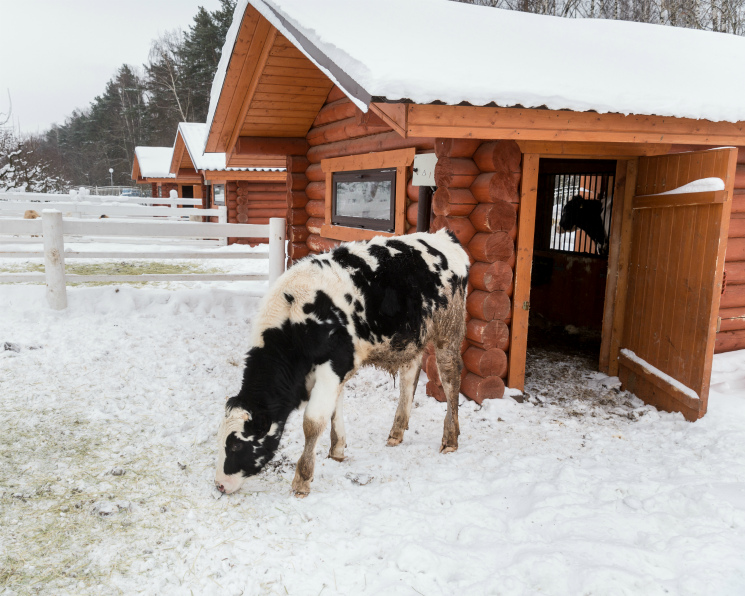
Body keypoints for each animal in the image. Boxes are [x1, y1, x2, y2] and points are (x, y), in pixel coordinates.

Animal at [215, 230, 468, 496]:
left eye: (235, 445)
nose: (219, 484)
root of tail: (443, 236)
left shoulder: (332, 367)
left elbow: (313, 422)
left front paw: (302, 479)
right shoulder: (336, 370)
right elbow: (334, 411)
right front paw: (336, 450)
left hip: (449, 331)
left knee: (451, 377)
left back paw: (450, 438)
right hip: (412, 339)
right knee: (409, 377)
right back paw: (397, 432)